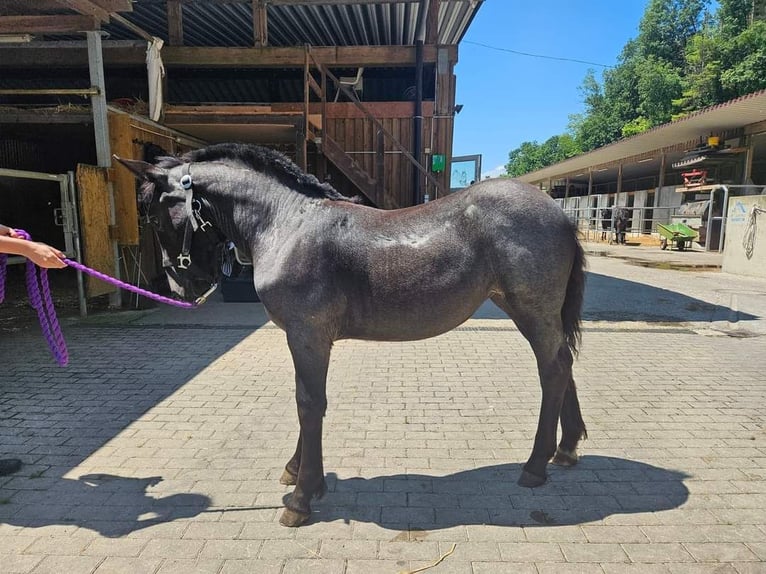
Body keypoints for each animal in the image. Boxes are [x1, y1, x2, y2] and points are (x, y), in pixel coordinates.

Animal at [117, 145, 592, 532]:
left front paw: (301, 498)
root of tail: (561, 215)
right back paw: (566, 449)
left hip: (531, 311)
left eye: (155, 214)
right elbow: (309, 401)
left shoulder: (307, 335)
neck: (288, 224)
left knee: (552, 370)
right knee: (563, 363)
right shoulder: (307, 338)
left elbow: (309, 404)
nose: (181, 286)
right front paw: (299, 472)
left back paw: (536, 466)